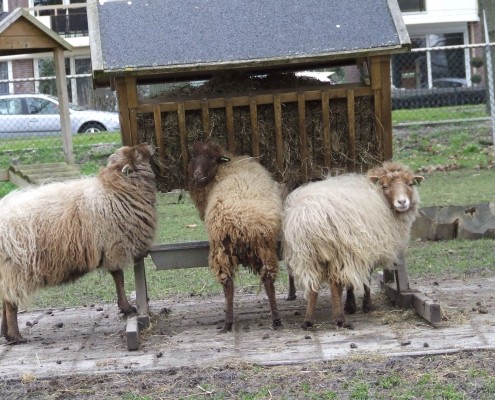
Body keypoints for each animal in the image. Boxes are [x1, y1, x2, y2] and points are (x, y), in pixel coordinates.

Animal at [0, 144, 157, 344]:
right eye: (137, 153)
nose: (150, 145)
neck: (114, 190)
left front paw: (125, 307)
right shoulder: (113, 245)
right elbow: (119, 277)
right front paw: (127, 308)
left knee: (4, 299)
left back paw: (5, 333)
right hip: (15, 267)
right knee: (10, 302)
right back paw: (15, 336)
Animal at [189, 141, 282, 332]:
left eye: (212, 159)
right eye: (192, 157)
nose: (197, 176)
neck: (225, 167)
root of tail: (240, 224)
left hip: (224, 249)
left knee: (230, 284)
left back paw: (230, 322)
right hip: (258, 248)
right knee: (264, 281)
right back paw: (273, 319)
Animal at [280, 161, 424, 330]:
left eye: (410, 184)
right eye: (385, 186)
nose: (402, 202)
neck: (380, 198)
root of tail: (311, 215)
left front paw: (351, 305)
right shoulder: (362, 249)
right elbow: (366, 279)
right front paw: (365, 306)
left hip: (307, 254)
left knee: (314, 284)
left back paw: (308, 320)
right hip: (338, 250)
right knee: (334, 284)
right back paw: (340, 319)